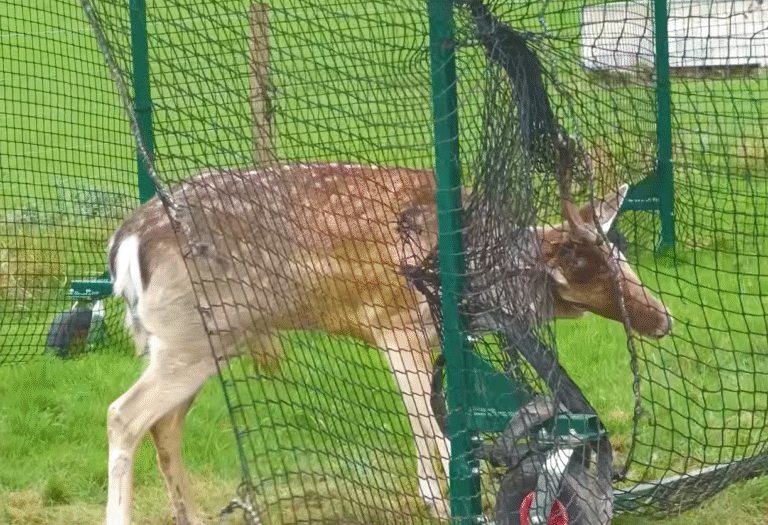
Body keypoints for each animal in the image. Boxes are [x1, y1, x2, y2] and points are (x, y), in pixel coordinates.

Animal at [105, 160, 672, 525]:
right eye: (595, 268)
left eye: (622, 255)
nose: (662, 318)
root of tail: (124, 244)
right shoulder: (393, 324)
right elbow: (432, 427)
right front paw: (451, 504)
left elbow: (431, 422)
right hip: (191, 337)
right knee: (123, 414)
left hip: (198, 342)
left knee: (164, 425)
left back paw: (193, 516)